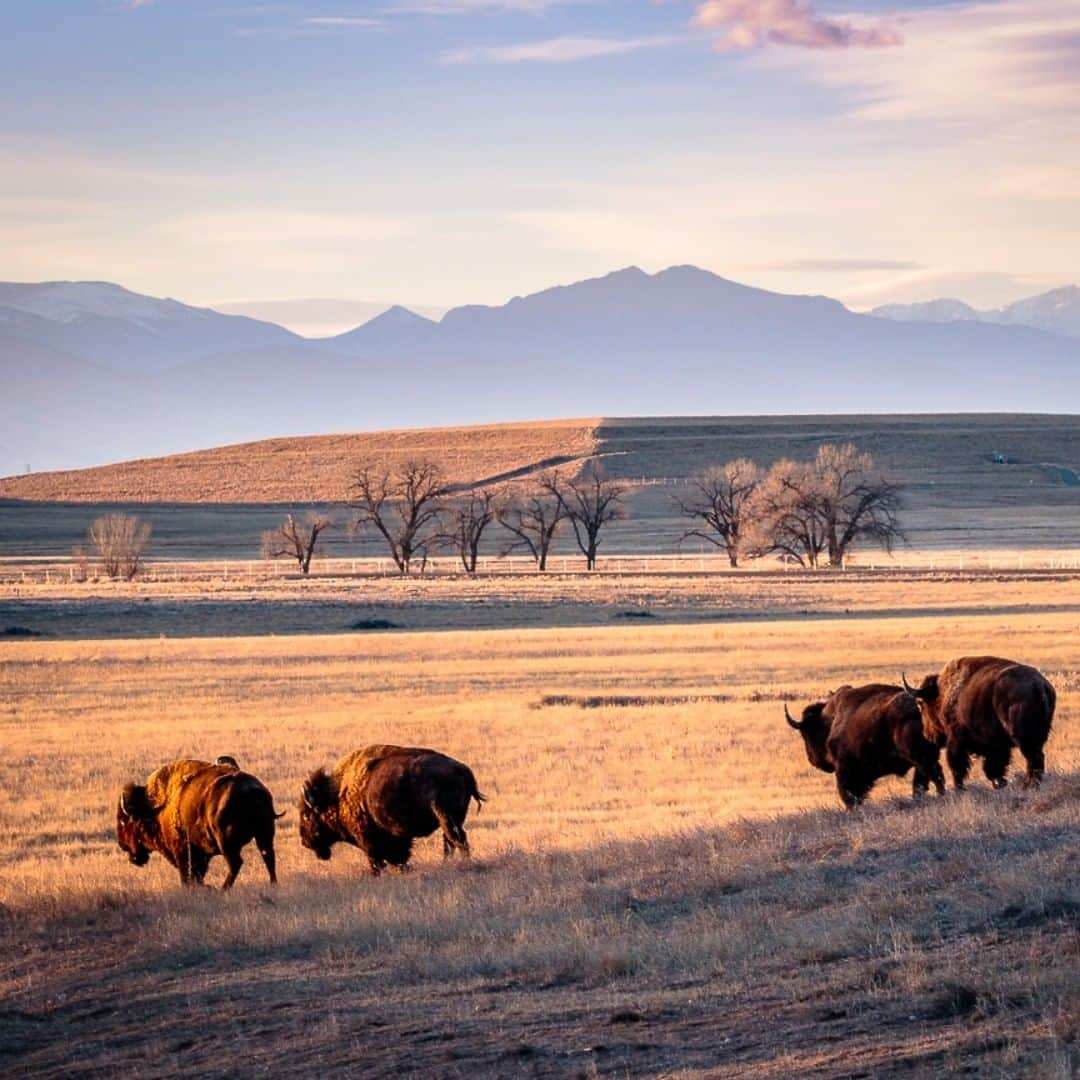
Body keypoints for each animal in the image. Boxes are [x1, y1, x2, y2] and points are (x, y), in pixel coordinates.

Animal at [117, 756, 282, 889]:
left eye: (124, 821)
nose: (122, 845)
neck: (153, 808)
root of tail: (253, 790)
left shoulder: (184, 851)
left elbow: (187, 875)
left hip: (226, 843)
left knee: (236, 863)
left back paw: (223, 889)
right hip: (264, 835)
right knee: (268, 857)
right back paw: (272, 884)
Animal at [300, 743, 486, 876]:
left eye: (307, 816)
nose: (304, 842)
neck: (337, 795)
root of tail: (461, 768)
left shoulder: (369, 840)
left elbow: (377, 860)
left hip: (446, 817)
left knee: (456, 839)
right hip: (453, 818)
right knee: (450, 841)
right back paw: (446, 864)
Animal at [786, 686, 946, 807]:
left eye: (806, 733)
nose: (812, 760)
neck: (830, 722)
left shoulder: (845, 769)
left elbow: (848, 793)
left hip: (920, 756)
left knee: (934, 774)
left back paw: (941, 795)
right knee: (922, 781)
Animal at [902, 652, 1054, 790]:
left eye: (921, 704)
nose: (927, 735)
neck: (942, 694)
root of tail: (1038, 684)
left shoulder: (956, 740)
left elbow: (957, 766)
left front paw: (959, 788)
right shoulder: (996, 745)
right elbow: (993, 767)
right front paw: (1000, 783)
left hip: (1023, 738)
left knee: (1034, 758)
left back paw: (1028, 785)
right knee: (1036, 758)